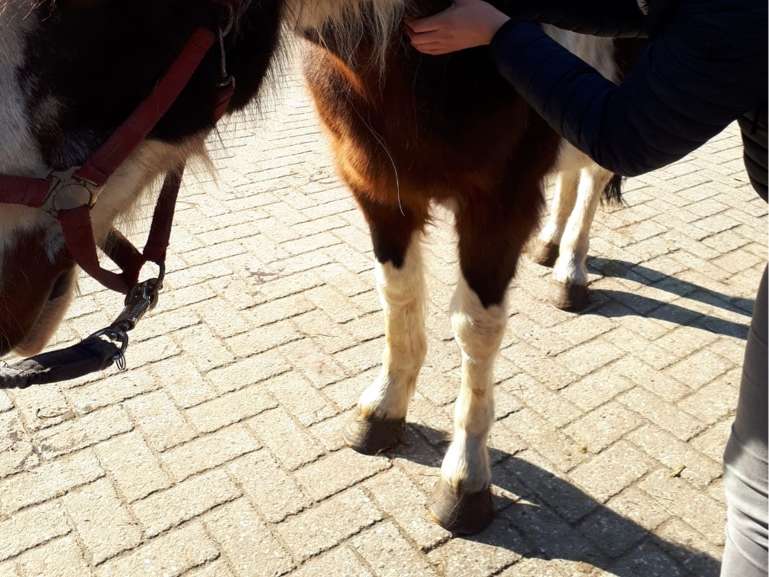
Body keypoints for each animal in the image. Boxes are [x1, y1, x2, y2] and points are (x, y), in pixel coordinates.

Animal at [303, 2, 643, 534]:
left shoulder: (498, 208)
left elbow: (475, 330)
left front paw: (464, 481)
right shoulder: (377, 189)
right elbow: (397, 297)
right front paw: (383, 409)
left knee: (591, 174)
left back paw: (570, 271)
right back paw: (550, 245)